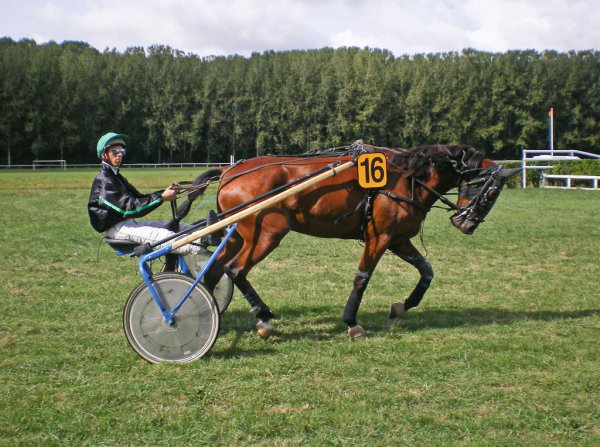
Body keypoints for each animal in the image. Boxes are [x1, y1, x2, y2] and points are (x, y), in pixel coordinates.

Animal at [171, 144, 516, 340]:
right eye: (490, 191)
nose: (466, 223)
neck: (406, 178)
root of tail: (231, 170)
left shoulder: (398, 239)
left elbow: (427, 271)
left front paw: (402, 306)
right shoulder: (379, 237)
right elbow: (362, 278)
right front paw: (352, 321)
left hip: (239, 234)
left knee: (216, 269)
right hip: (266, 234)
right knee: (235, 269)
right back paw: (264, 318)